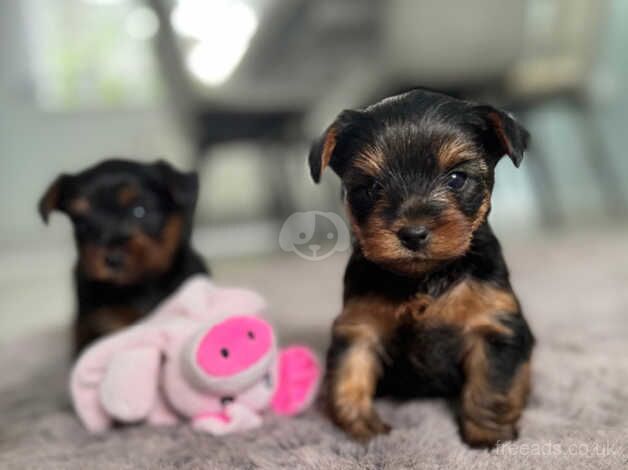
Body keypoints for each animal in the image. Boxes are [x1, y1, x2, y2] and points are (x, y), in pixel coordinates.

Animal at [310, 89, 536, 448]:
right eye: (371, 187)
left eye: (456, 179)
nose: (413, 233)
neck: (424, 276)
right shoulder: (360, 324)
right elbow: (350, 371)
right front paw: (362, 428)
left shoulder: (495, 325)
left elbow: (492, 387)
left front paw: (489, 439)